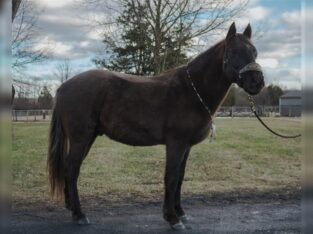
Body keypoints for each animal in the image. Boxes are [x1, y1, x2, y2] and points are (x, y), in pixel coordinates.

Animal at [47, 22, 264, 229]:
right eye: (233, 52)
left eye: (254, 52)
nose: (257, 82)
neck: (191, 91)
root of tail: (62, 87)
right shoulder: (176, 144)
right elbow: (171, 177)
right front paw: (172, 218)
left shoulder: (186, 147)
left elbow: (180, 178)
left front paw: (180, 213)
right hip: (81, 138)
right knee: (72, 169)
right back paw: (79, 214)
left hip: (88, 137)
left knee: (70, 168)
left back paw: (71, 207)